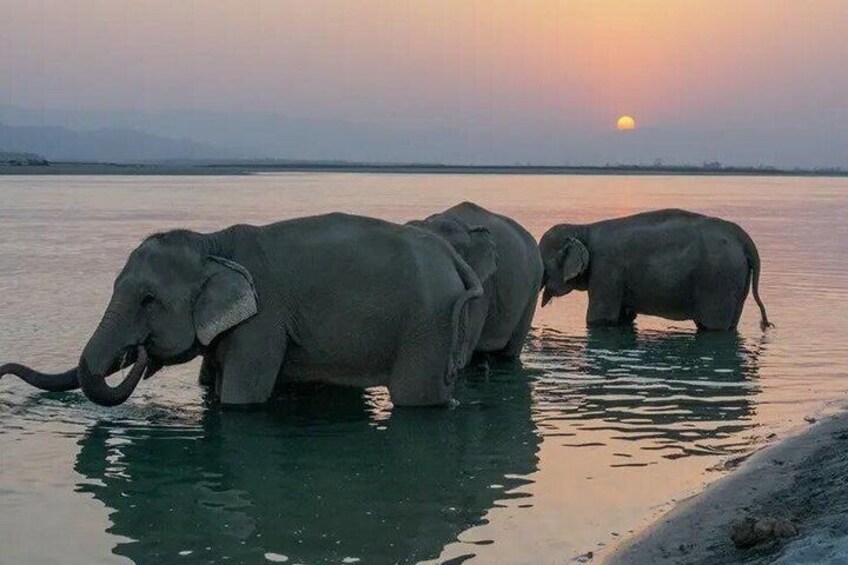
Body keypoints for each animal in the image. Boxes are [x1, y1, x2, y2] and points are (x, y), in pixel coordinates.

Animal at [1, 213, 495, 407]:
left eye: (148, 301)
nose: (138, 353)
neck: (212, 243)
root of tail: (454, 259)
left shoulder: (263, 321)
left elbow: (241, 399)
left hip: (427, 325)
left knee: (417, 399)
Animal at [539, 209, 773, 331]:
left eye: (544, 266)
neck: (583, 228)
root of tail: (743, 238)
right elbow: (624, 317)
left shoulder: (606, 270)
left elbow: (600, 318)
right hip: (737, 280)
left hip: (718, 281)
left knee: (711, 326)